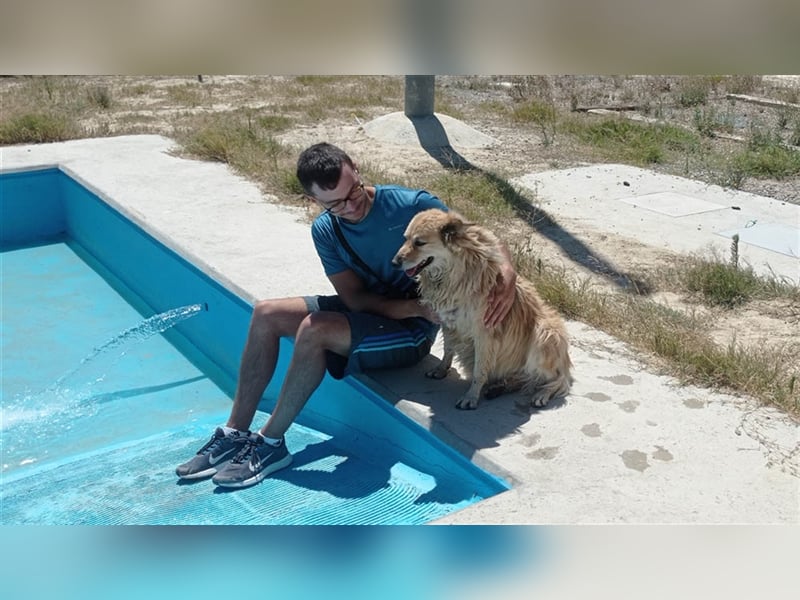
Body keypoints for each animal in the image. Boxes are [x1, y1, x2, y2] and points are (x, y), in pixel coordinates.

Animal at [392, 209, 573, 410]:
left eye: (419, 242)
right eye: (406, 238)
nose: (394, 262)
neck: (454, 273)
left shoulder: (484, 335)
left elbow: (479, 372)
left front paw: (471, 397)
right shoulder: (449, 323)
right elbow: (448, 350)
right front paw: (441, 370)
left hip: (544, 334)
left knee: (558, 379)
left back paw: (542, 394)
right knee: (527, 378)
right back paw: (500, 387)